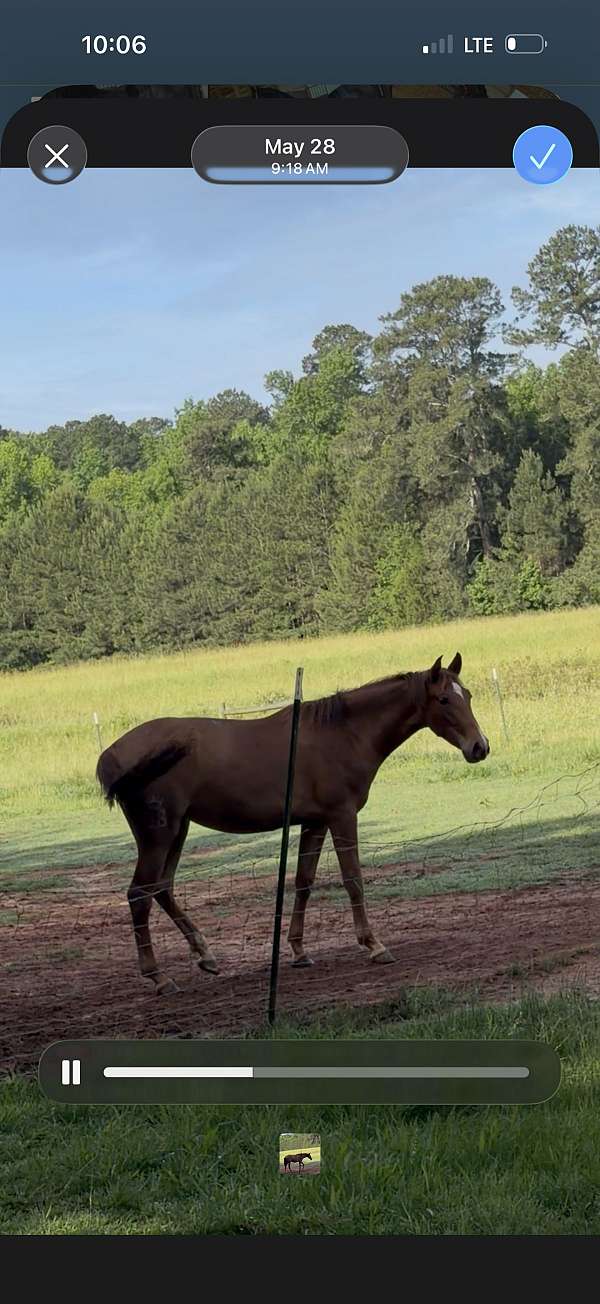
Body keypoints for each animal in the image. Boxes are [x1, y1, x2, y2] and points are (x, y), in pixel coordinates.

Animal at [96, 652, 489, 993]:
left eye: (467, 695)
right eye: (443, 699)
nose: (480, 747)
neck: (344, 733)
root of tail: (110, 754)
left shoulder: (314, 822)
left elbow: (303, 882)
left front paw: (299, 951)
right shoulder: (341, 816)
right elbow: (353, 879)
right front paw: (373, 944)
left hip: (178, 830)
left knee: (162, 888)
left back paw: (204, 955)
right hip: (158, 836)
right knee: (139, 895)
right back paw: (158, 976)